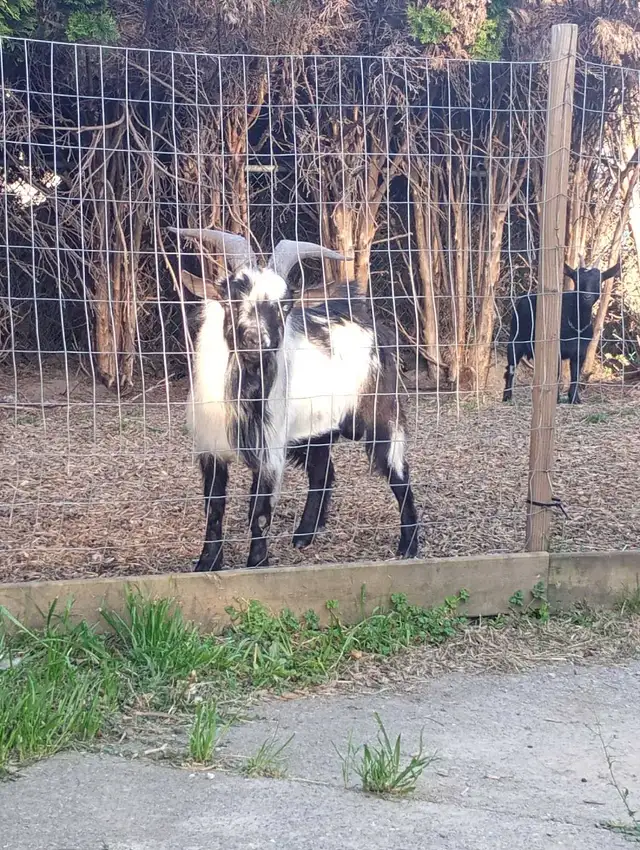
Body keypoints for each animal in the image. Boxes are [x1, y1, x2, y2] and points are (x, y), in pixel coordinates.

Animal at [170, 227, 419, 572]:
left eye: (285, 304)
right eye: (231, 295)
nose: (257, 341)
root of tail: (373, 325)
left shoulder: (270, 451)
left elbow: (260, 512)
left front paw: (256, 565)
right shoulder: (210, 448)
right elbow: (214, 508)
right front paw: (207, 564)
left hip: (380, 413)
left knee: (398, 472)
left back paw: (409, 546)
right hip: (317, 430)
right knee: (323, 473)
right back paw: (304, 535)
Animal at [502, 259, 620, 405]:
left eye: (599, 280)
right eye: (576, 279)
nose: (586, 297)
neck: (576, 326)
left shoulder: (581, 351)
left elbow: (575, 374)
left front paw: (574, 398)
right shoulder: (556, 348)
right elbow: (556, 374)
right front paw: (557, 398)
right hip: (515, 339)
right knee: (511, 367)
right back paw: (507, 396)